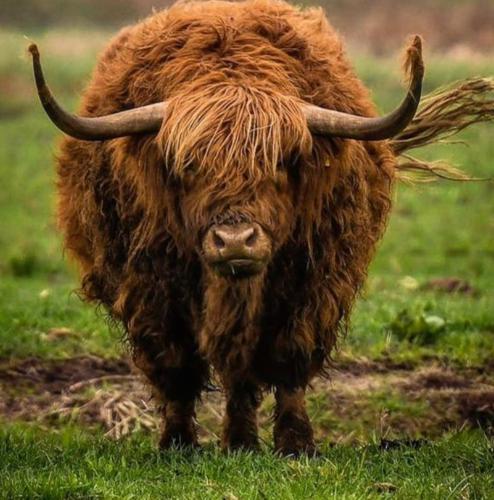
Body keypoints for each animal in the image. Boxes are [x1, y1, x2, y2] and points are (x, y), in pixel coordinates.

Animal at [30, 0, 494, 454]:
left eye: (280, 162)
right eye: (189, 164)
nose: (235, 241)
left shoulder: (314, 284)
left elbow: (287, 360)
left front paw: (292, 443)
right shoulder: (148, 289)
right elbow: (175, 367)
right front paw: (178, 444)